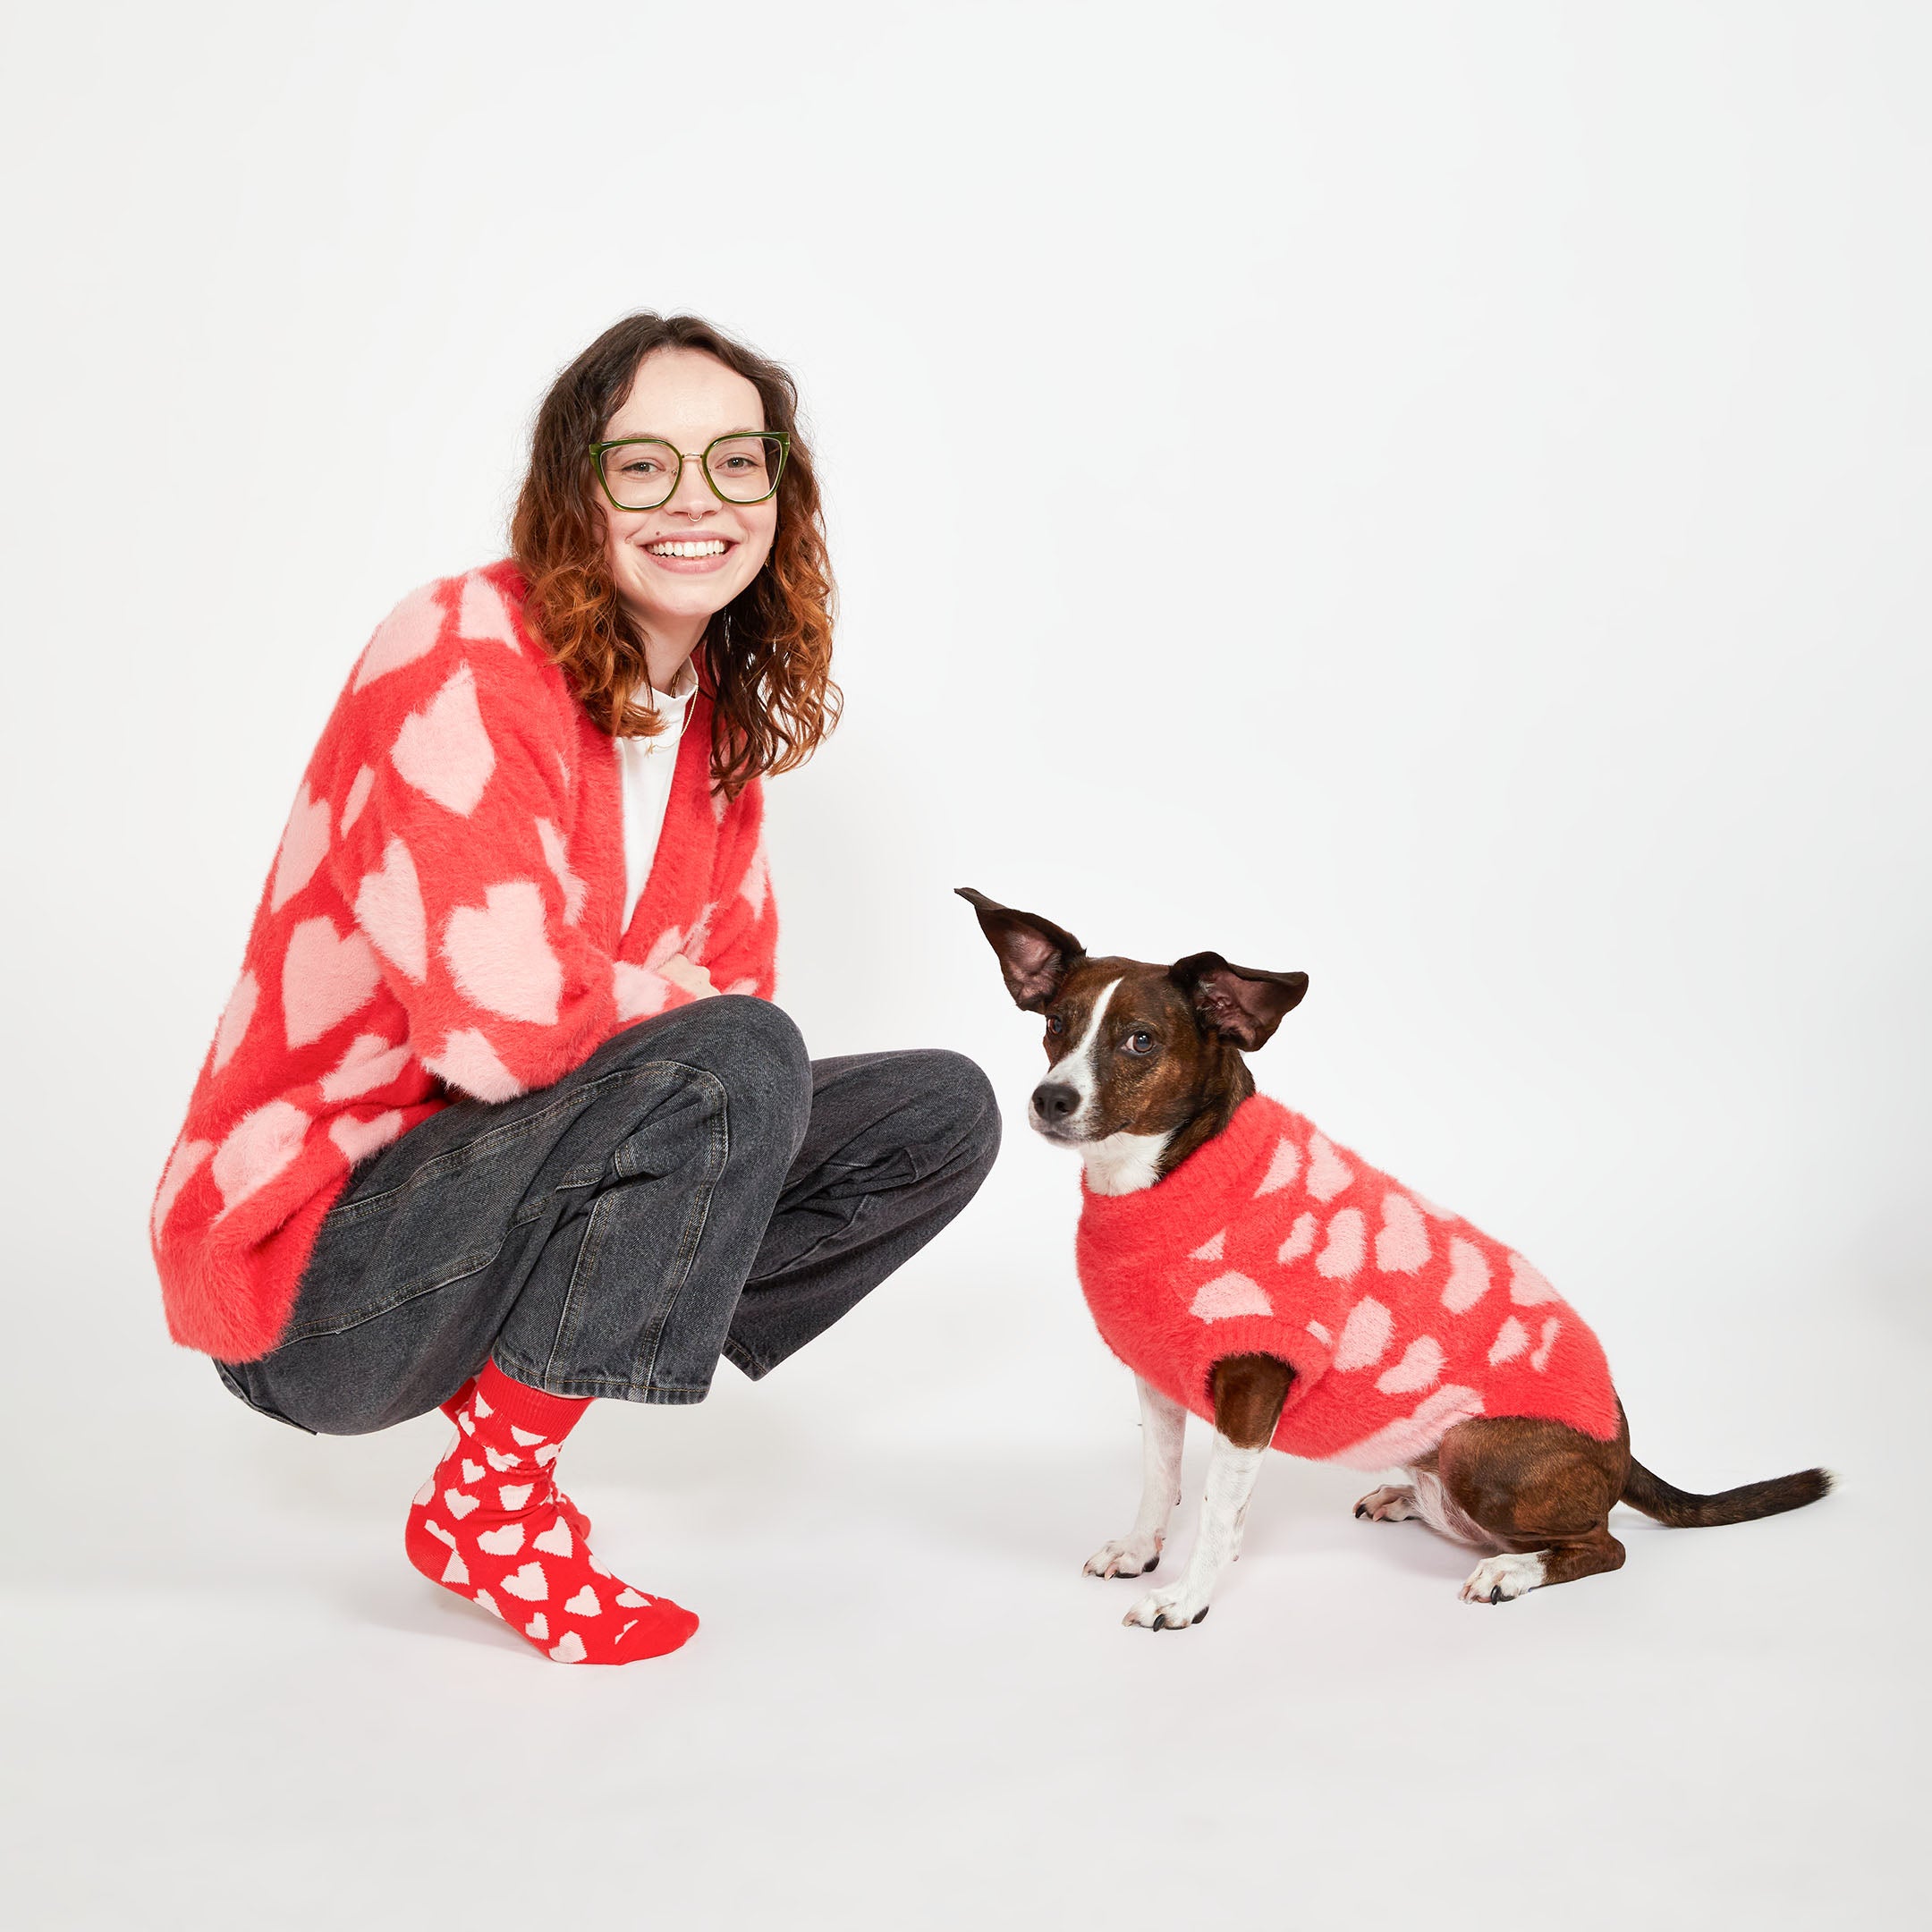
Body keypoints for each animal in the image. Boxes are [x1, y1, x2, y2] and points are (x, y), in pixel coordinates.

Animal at [958, 888, 1831, 1631]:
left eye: (1140, 1041)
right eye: (1055, 1024)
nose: (1050, 1098)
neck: (1170, 1179)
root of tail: (1622, 1443)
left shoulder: (1252, 1384)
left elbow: (1215, 1508)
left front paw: (1187, 1599)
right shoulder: (1158, 1378)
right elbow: (1160, 1480)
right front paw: (1141, 1551)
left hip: (1484, 1452)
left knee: (1602, 1543)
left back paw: (1514, 1571)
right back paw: (1411, 1501)